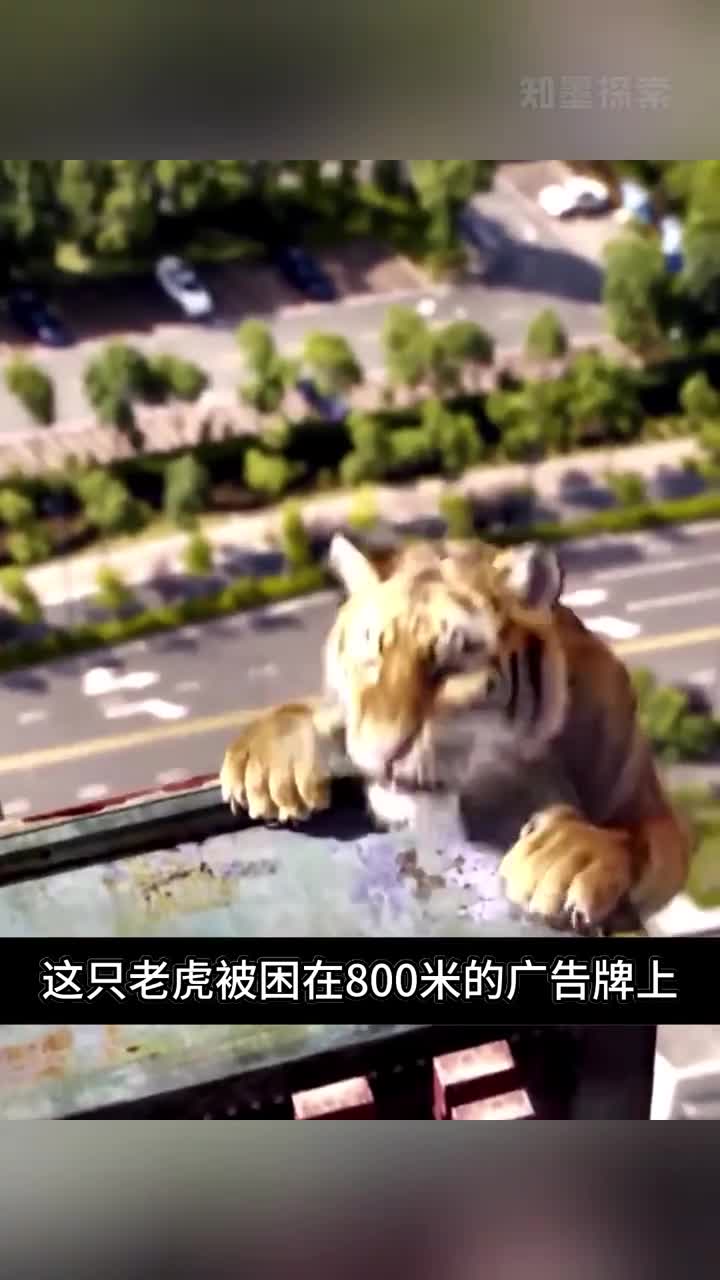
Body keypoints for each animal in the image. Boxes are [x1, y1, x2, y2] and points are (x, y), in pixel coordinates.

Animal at [219, 533, 690, 932]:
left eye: (449, 668)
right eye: (372, 656)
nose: (382, 750)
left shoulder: (643, 803)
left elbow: (631, 837)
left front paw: (568, 855)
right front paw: (270, 762)